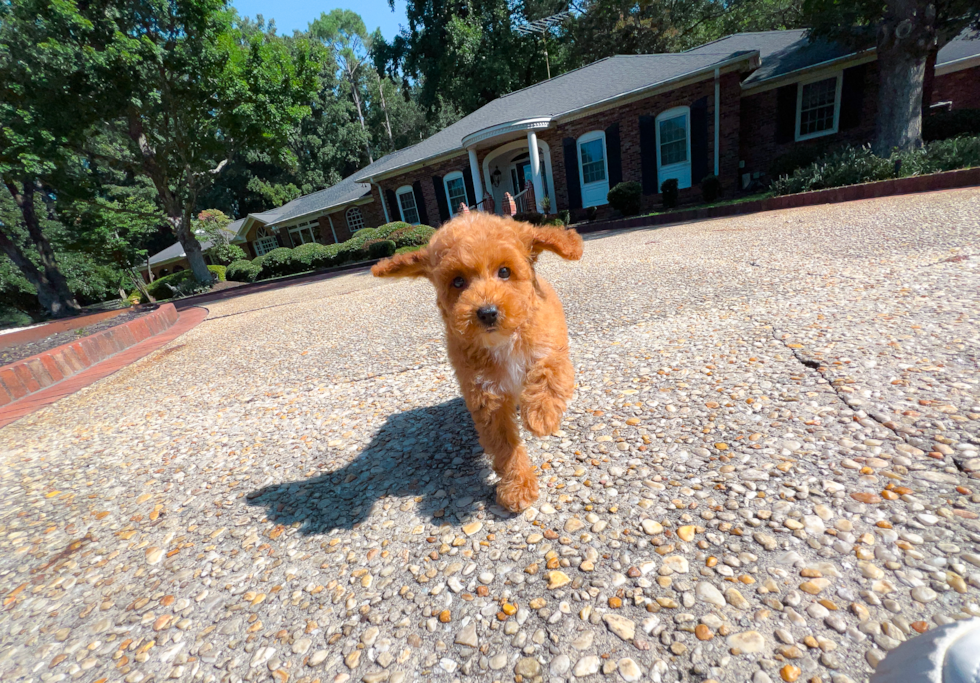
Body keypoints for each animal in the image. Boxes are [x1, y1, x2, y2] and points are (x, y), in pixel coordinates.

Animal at [370, 214, 580, 512]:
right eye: (458, 282)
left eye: (504, 272)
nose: (487, 312)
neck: (503, 342)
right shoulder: (485, 394)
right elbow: (504, 444)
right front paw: (517, 485)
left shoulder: (550, 346)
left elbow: (549, 371)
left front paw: (541, 414)